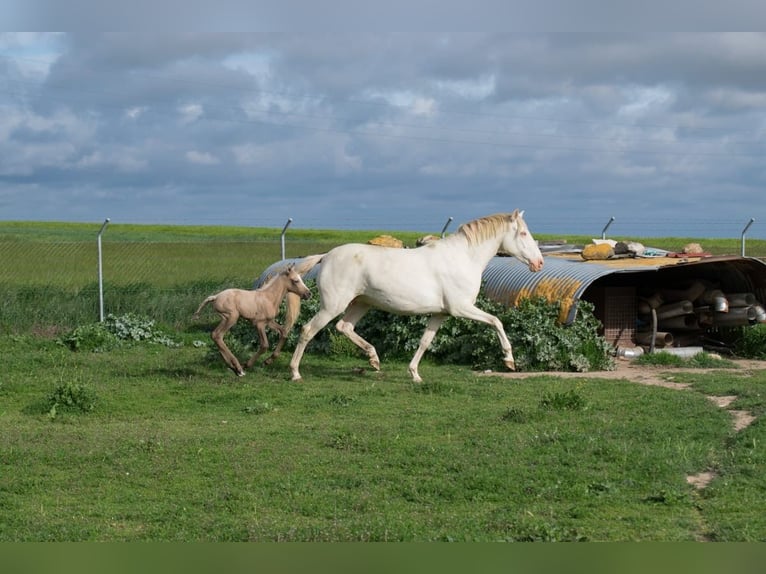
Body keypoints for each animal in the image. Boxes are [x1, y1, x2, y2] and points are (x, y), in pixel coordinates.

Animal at [288, 210, 544, 382]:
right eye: (523, 233)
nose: (539, 263)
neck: (463, 258)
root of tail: (326, 255)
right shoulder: (461, 308)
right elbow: (496, 321)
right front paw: (509, 361)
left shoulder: (441, 314)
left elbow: (425, 341)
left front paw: (414, 374)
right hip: (332, 305)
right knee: (308, 330)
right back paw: (295, 372)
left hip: (361, 304)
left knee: (344, 327)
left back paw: (374, 360)